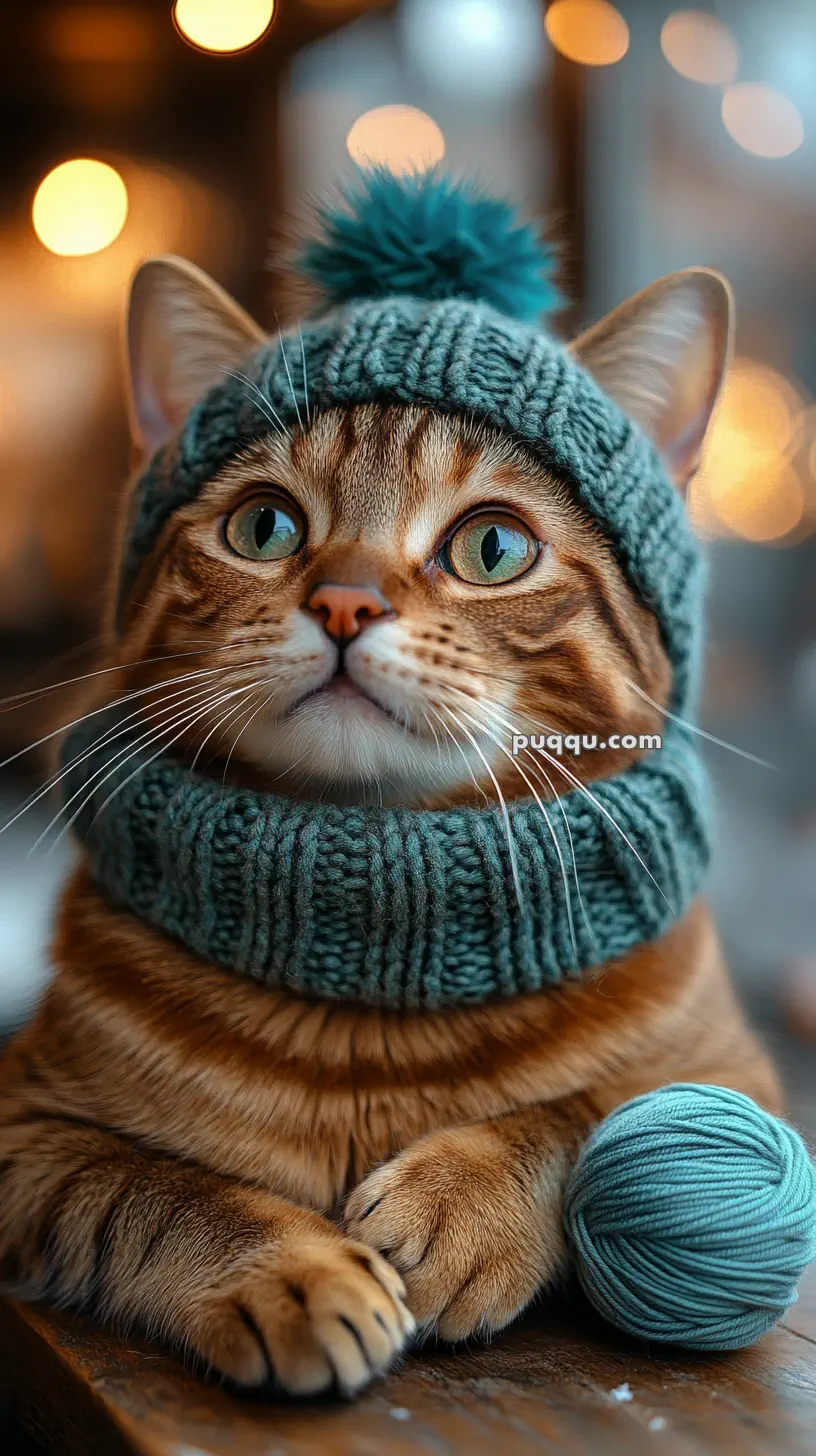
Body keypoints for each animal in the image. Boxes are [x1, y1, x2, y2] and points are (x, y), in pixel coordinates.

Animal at [0, 241, 775, 1397]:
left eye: (493, 547)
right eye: (264, 525)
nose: (345, 601)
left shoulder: (743, 1081)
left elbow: (587, 1113)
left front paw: (463, 1202)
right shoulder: (26, 1124)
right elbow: (150, 1189)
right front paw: (294, 1269)